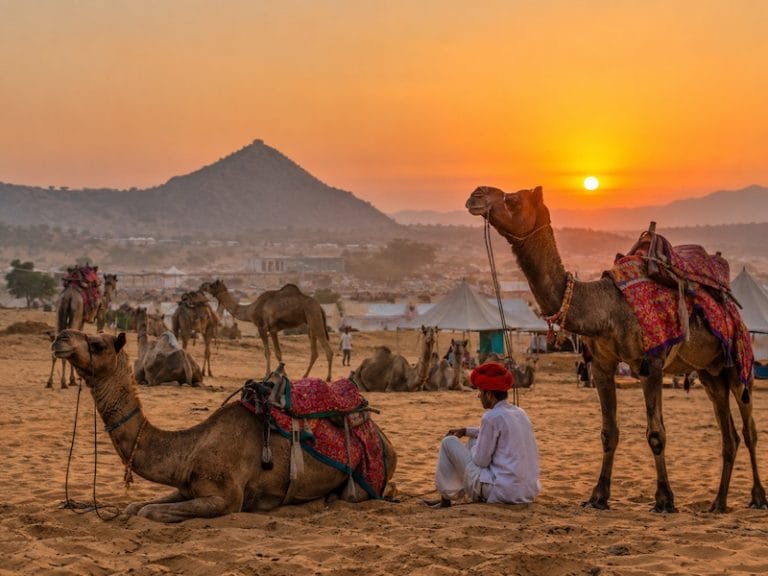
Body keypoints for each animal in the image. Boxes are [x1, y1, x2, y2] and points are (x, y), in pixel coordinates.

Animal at [51, 329, 397, 523]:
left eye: (97, 344)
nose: (59, 337)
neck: (188, 449)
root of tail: (384, 439)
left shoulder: (226, 498)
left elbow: (148, 512)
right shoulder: (185, 486)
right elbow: (135, 507)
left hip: (367, 480)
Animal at [200, 279, 334, 381]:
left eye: (211, 285)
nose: (202, 286)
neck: (250, 310)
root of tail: (320, 306)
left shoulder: (262, 327)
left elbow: (268, 352)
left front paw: (267, 374)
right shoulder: (273, 329)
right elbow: (277, 352)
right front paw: (283, 374)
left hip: (314, 317)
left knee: (328, 349)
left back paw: (328, 377)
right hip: (310, 323)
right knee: (314, 351)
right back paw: (305, 376)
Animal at [467, 185, 767, 513]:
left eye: (513, 199)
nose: (477, 194)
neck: (605, 309)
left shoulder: (652, 365)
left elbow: (656, 433)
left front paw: (664, 499)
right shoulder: (601, 365)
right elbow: (608, 432)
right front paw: (598, 496)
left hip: (739, 365)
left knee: (749, 430)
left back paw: (757, 497)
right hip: (710, 373)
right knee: (729, 434)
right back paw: (718, 503)